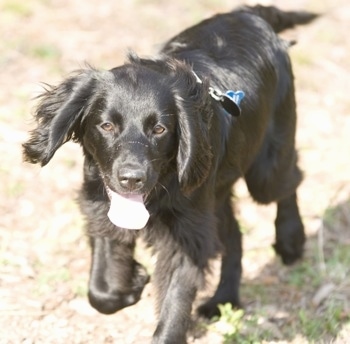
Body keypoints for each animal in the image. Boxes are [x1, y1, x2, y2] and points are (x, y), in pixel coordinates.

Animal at [22, 4, 318, 342]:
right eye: (106, 125)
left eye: (160, 129)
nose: (132, 178)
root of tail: (249, 13)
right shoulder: (100, 202)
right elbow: (101, 290)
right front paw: (132, 283)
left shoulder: (187, 234)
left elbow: (175, 303)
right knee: (233, 233)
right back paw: (223, 300)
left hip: (265, 167)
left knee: (289, 180)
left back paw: (290, 239)